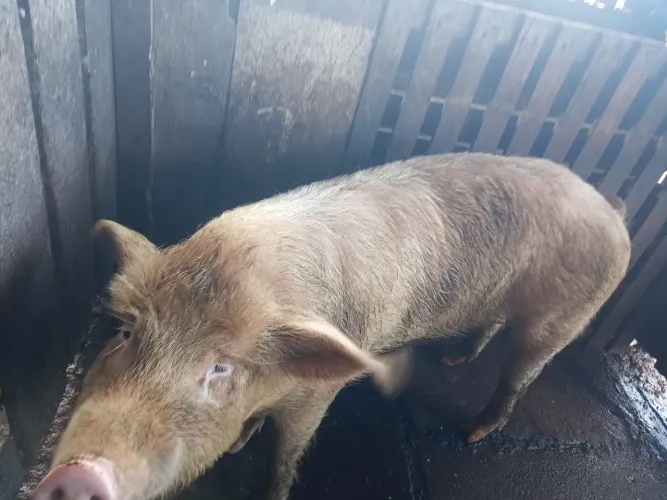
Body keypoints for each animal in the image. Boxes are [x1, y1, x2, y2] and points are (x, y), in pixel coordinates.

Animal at [33, 152, 630, 500]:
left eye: (220, 368)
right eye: (125, 333)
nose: (78, 473)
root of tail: (610, 206)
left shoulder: (317, 396)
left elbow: (286, 455)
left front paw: (267, 486)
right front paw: (238, 442)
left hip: (564, 316)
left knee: (522, 371)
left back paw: (475, 432)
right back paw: (454, 360)